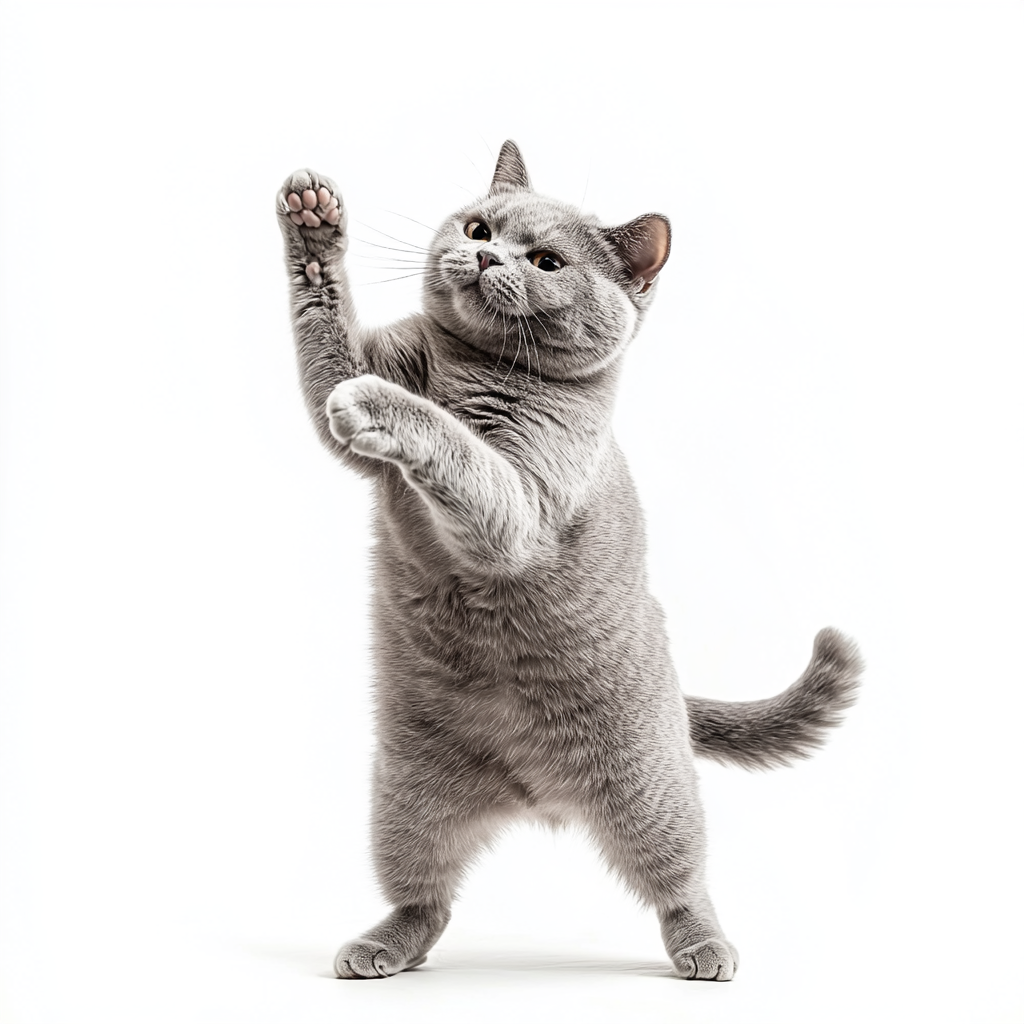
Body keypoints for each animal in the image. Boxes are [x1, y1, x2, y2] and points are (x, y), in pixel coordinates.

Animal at [276, 144, 860, 983]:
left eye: (547, 262)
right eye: (479, 227)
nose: (487, 255)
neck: (472, 370)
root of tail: (534, 795)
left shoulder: (520, 505)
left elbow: (456, 448)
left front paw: (385, 407)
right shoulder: (370, 365)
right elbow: (329, 340)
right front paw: (313, 218)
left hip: (650, 789)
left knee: (682, 875)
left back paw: (706, 948)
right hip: (403, 800)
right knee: (428, 898)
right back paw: (382, 945)